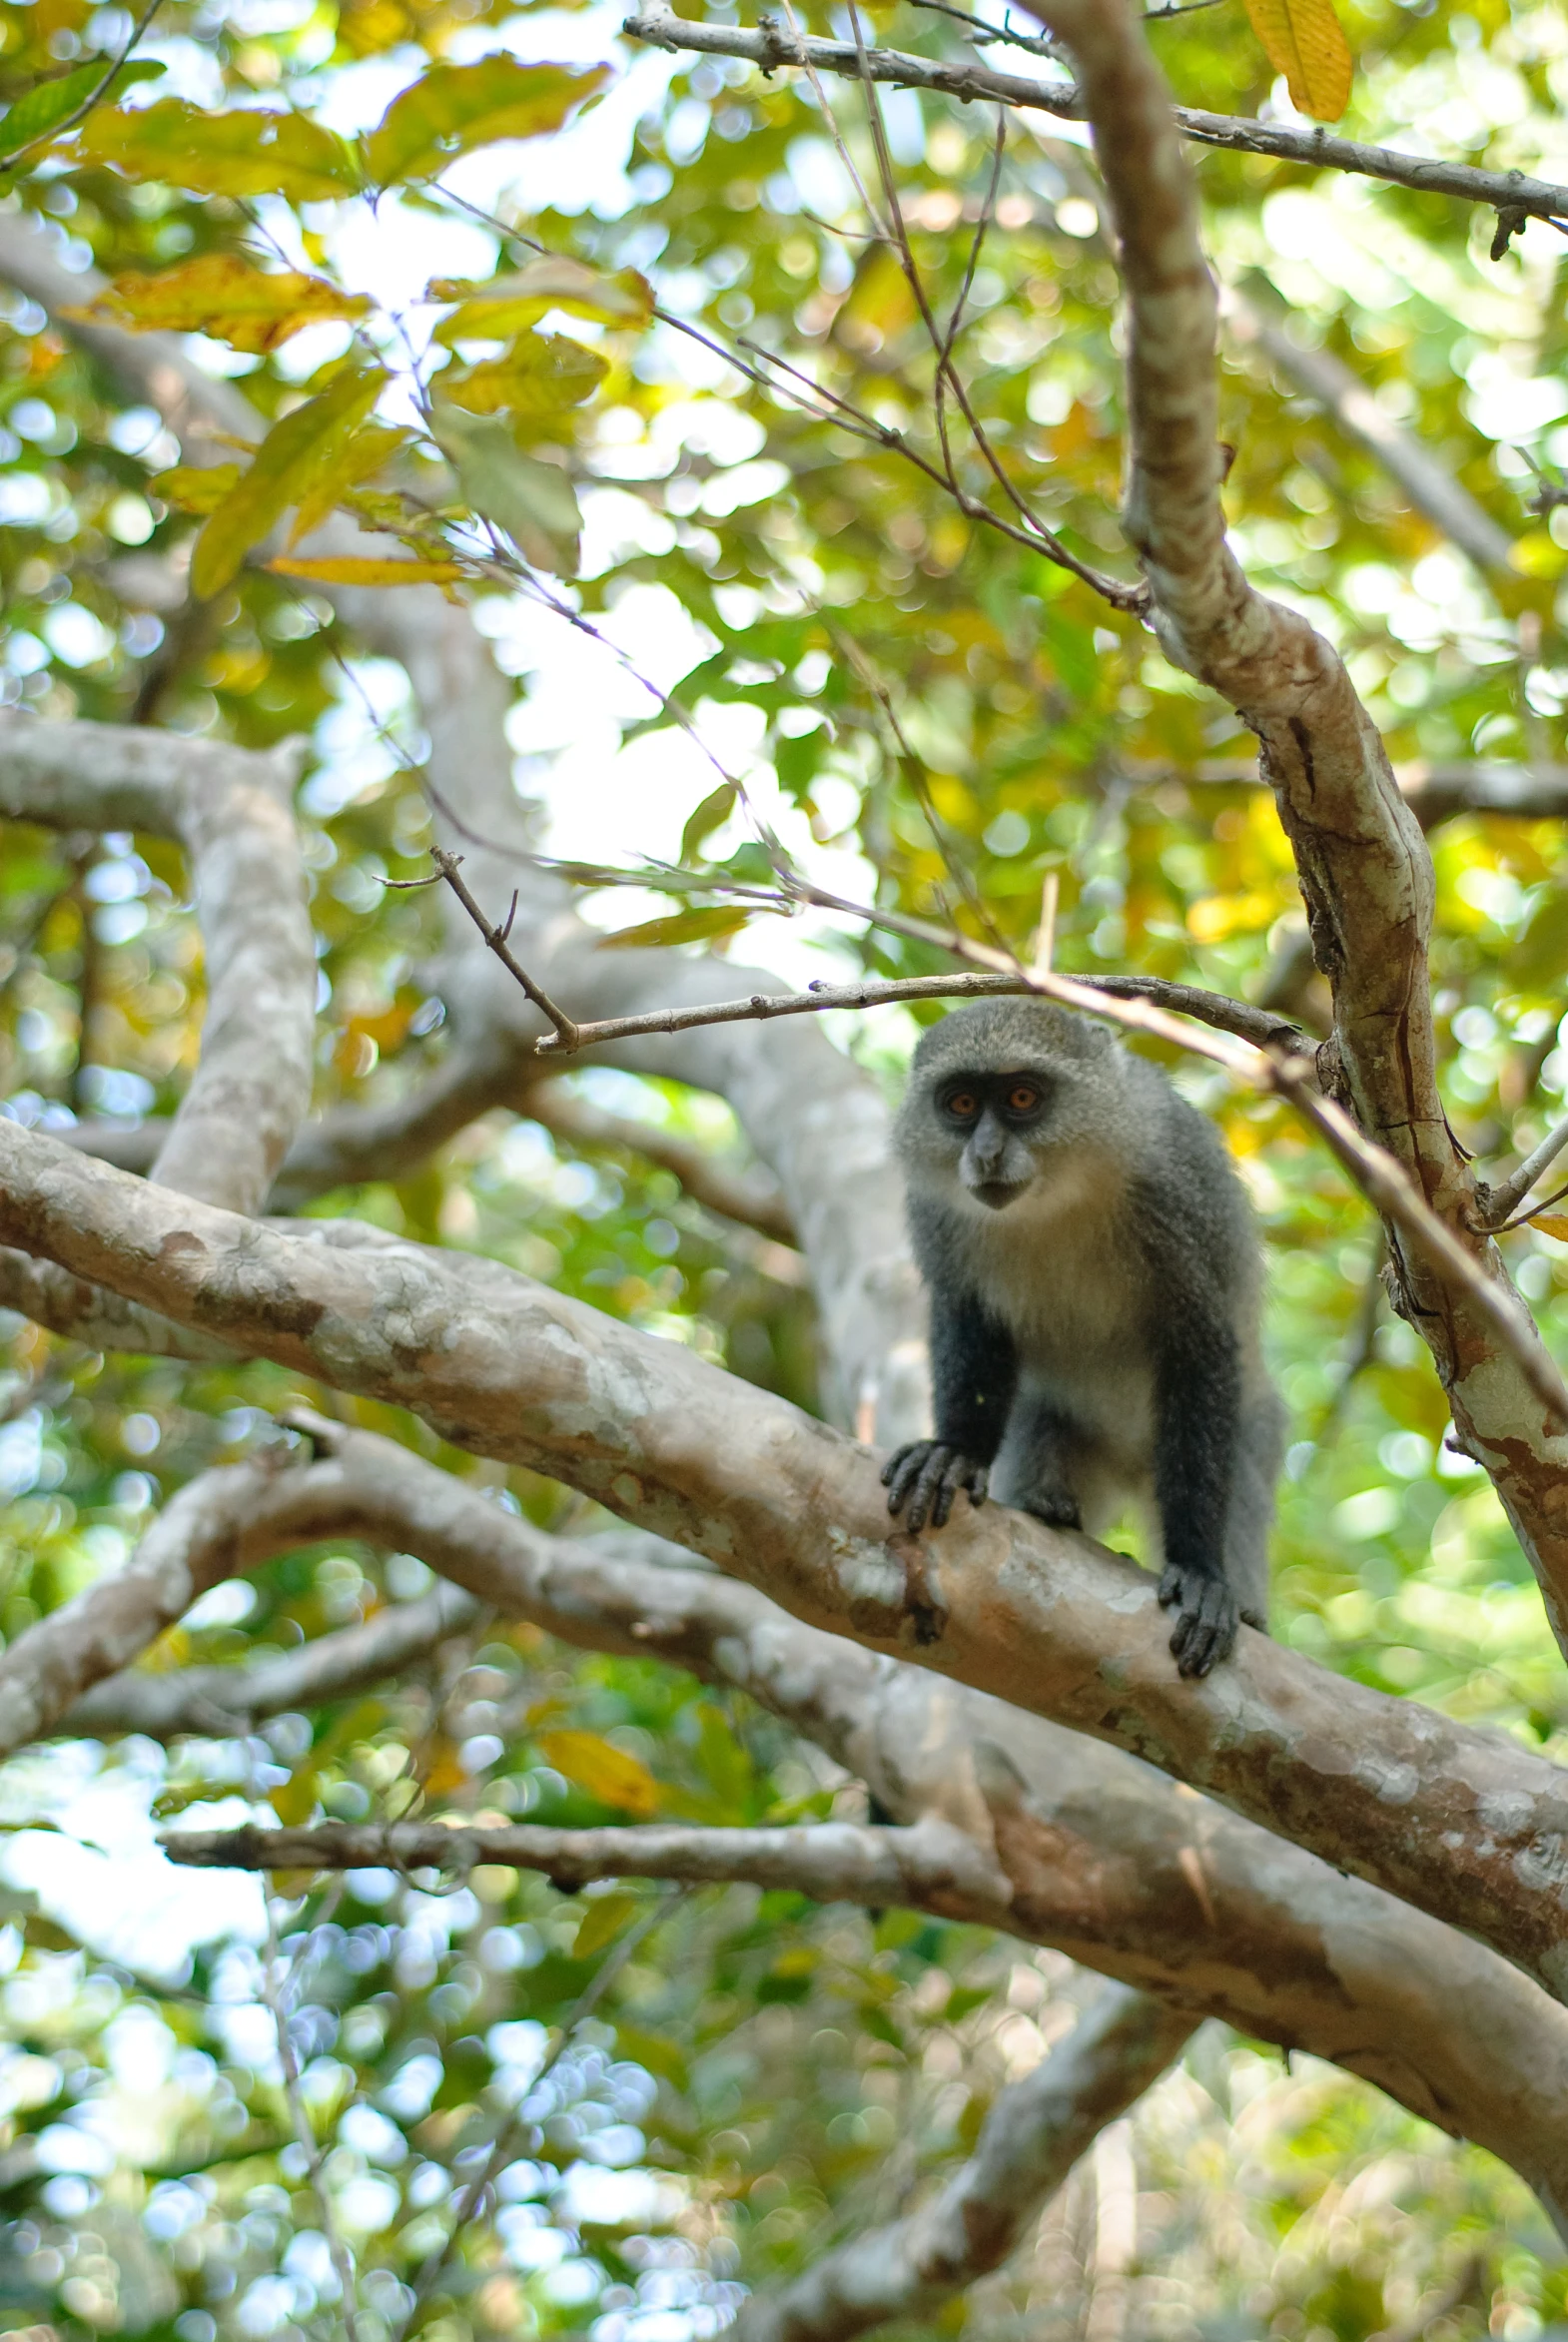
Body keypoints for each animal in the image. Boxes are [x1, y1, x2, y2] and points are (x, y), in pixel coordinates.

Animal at [889, 997, 1282, 1677]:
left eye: (1022, 1097)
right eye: (961, 1104)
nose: (986, 1153)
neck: (1056, 1196)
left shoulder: (1176, 1190)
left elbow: (1201, 1348)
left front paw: (1200, 1572)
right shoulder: (938, 1217)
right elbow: (969, 1320)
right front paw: (956, 1452)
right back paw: (1048, 1504)